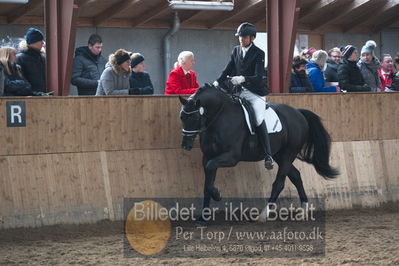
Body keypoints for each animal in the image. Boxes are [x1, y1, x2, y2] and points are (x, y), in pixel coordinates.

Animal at [180, 84, 340, 221]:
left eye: (194, 117)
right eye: (181, 117)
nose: (185, 145)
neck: (220, 117)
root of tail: (298, 113)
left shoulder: (231, 157)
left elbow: (210, 173)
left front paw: (217, 195)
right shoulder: (207, 157)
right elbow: (206, 183)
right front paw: (204, 217)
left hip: (288, 154)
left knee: (279, 183)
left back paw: (264, 214)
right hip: (279, 155)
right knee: (296, 176)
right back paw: (303, 209)